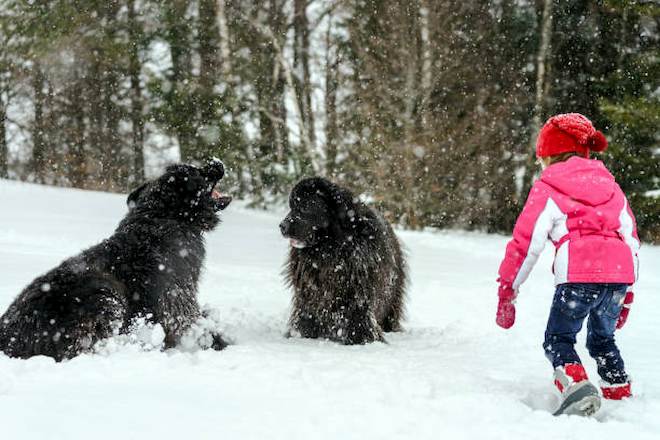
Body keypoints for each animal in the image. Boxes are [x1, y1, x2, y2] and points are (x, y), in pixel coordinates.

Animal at [0, 158, 232, 360]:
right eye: (195, 172)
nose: (216, 162)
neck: (162, 218)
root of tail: (8, 337)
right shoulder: (177, 299)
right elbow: (196, 325)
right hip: (106, 297)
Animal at [280, 177, 408, 346]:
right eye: (292, 206)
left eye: (305, 206)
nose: (282, 226)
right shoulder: (309, 292)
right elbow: (307, 312)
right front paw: (301, 334)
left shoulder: (357, 293)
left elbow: (358, 317)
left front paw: (361, 339)